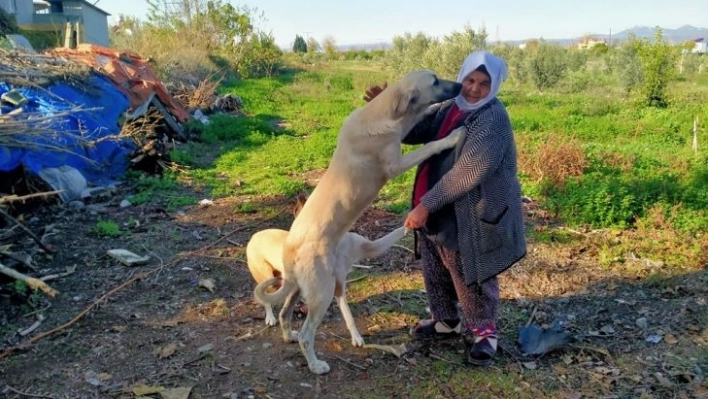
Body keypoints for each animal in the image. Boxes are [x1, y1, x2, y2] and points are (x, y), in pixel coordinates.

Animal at [254, 71, 464, 376]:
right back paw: (316, 364)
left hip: (298, 287)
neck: (383, 114)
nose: (460, 86)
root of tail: (290, 246)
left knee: (284, 313)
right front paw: (452, 136)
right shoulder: (396, 164)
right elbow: (431, 145)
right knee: (307, 333)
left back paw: (288, 336)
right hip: (322, 292)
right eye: (434, 81)